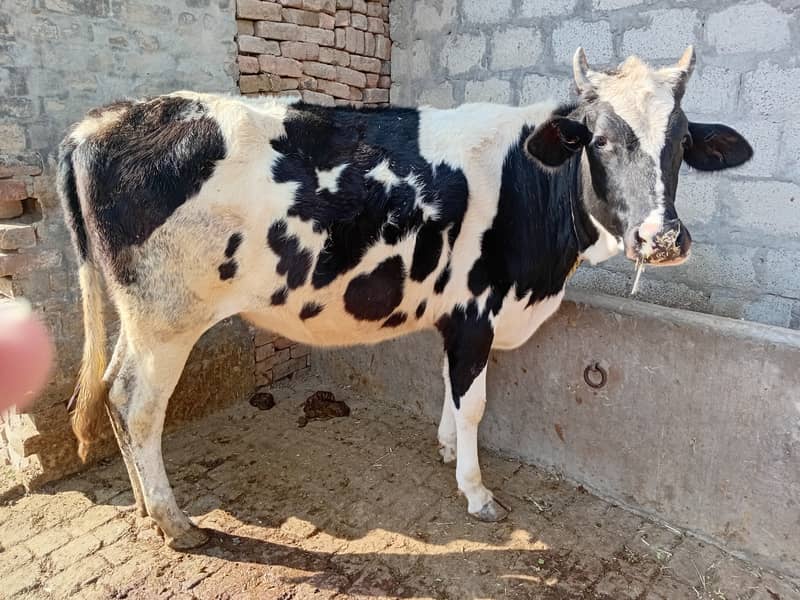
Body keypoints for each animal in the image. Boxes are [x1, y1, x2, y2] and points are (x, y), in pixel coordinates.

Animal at [59, 46, 752, 549]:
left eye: (681, 143)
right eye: (599, 140)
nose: (662, 238)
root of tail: (101, 120)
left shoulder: (456, 315)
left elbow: (451, 390)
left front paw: (446, 450)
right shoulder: (477, 311)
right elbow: (475, 405)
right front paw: (475, 492)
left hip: (139, 316)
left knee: (112, 391)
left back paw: (146, 509)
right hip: (167, 316)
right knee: (137, 404)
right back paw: (175, 524)